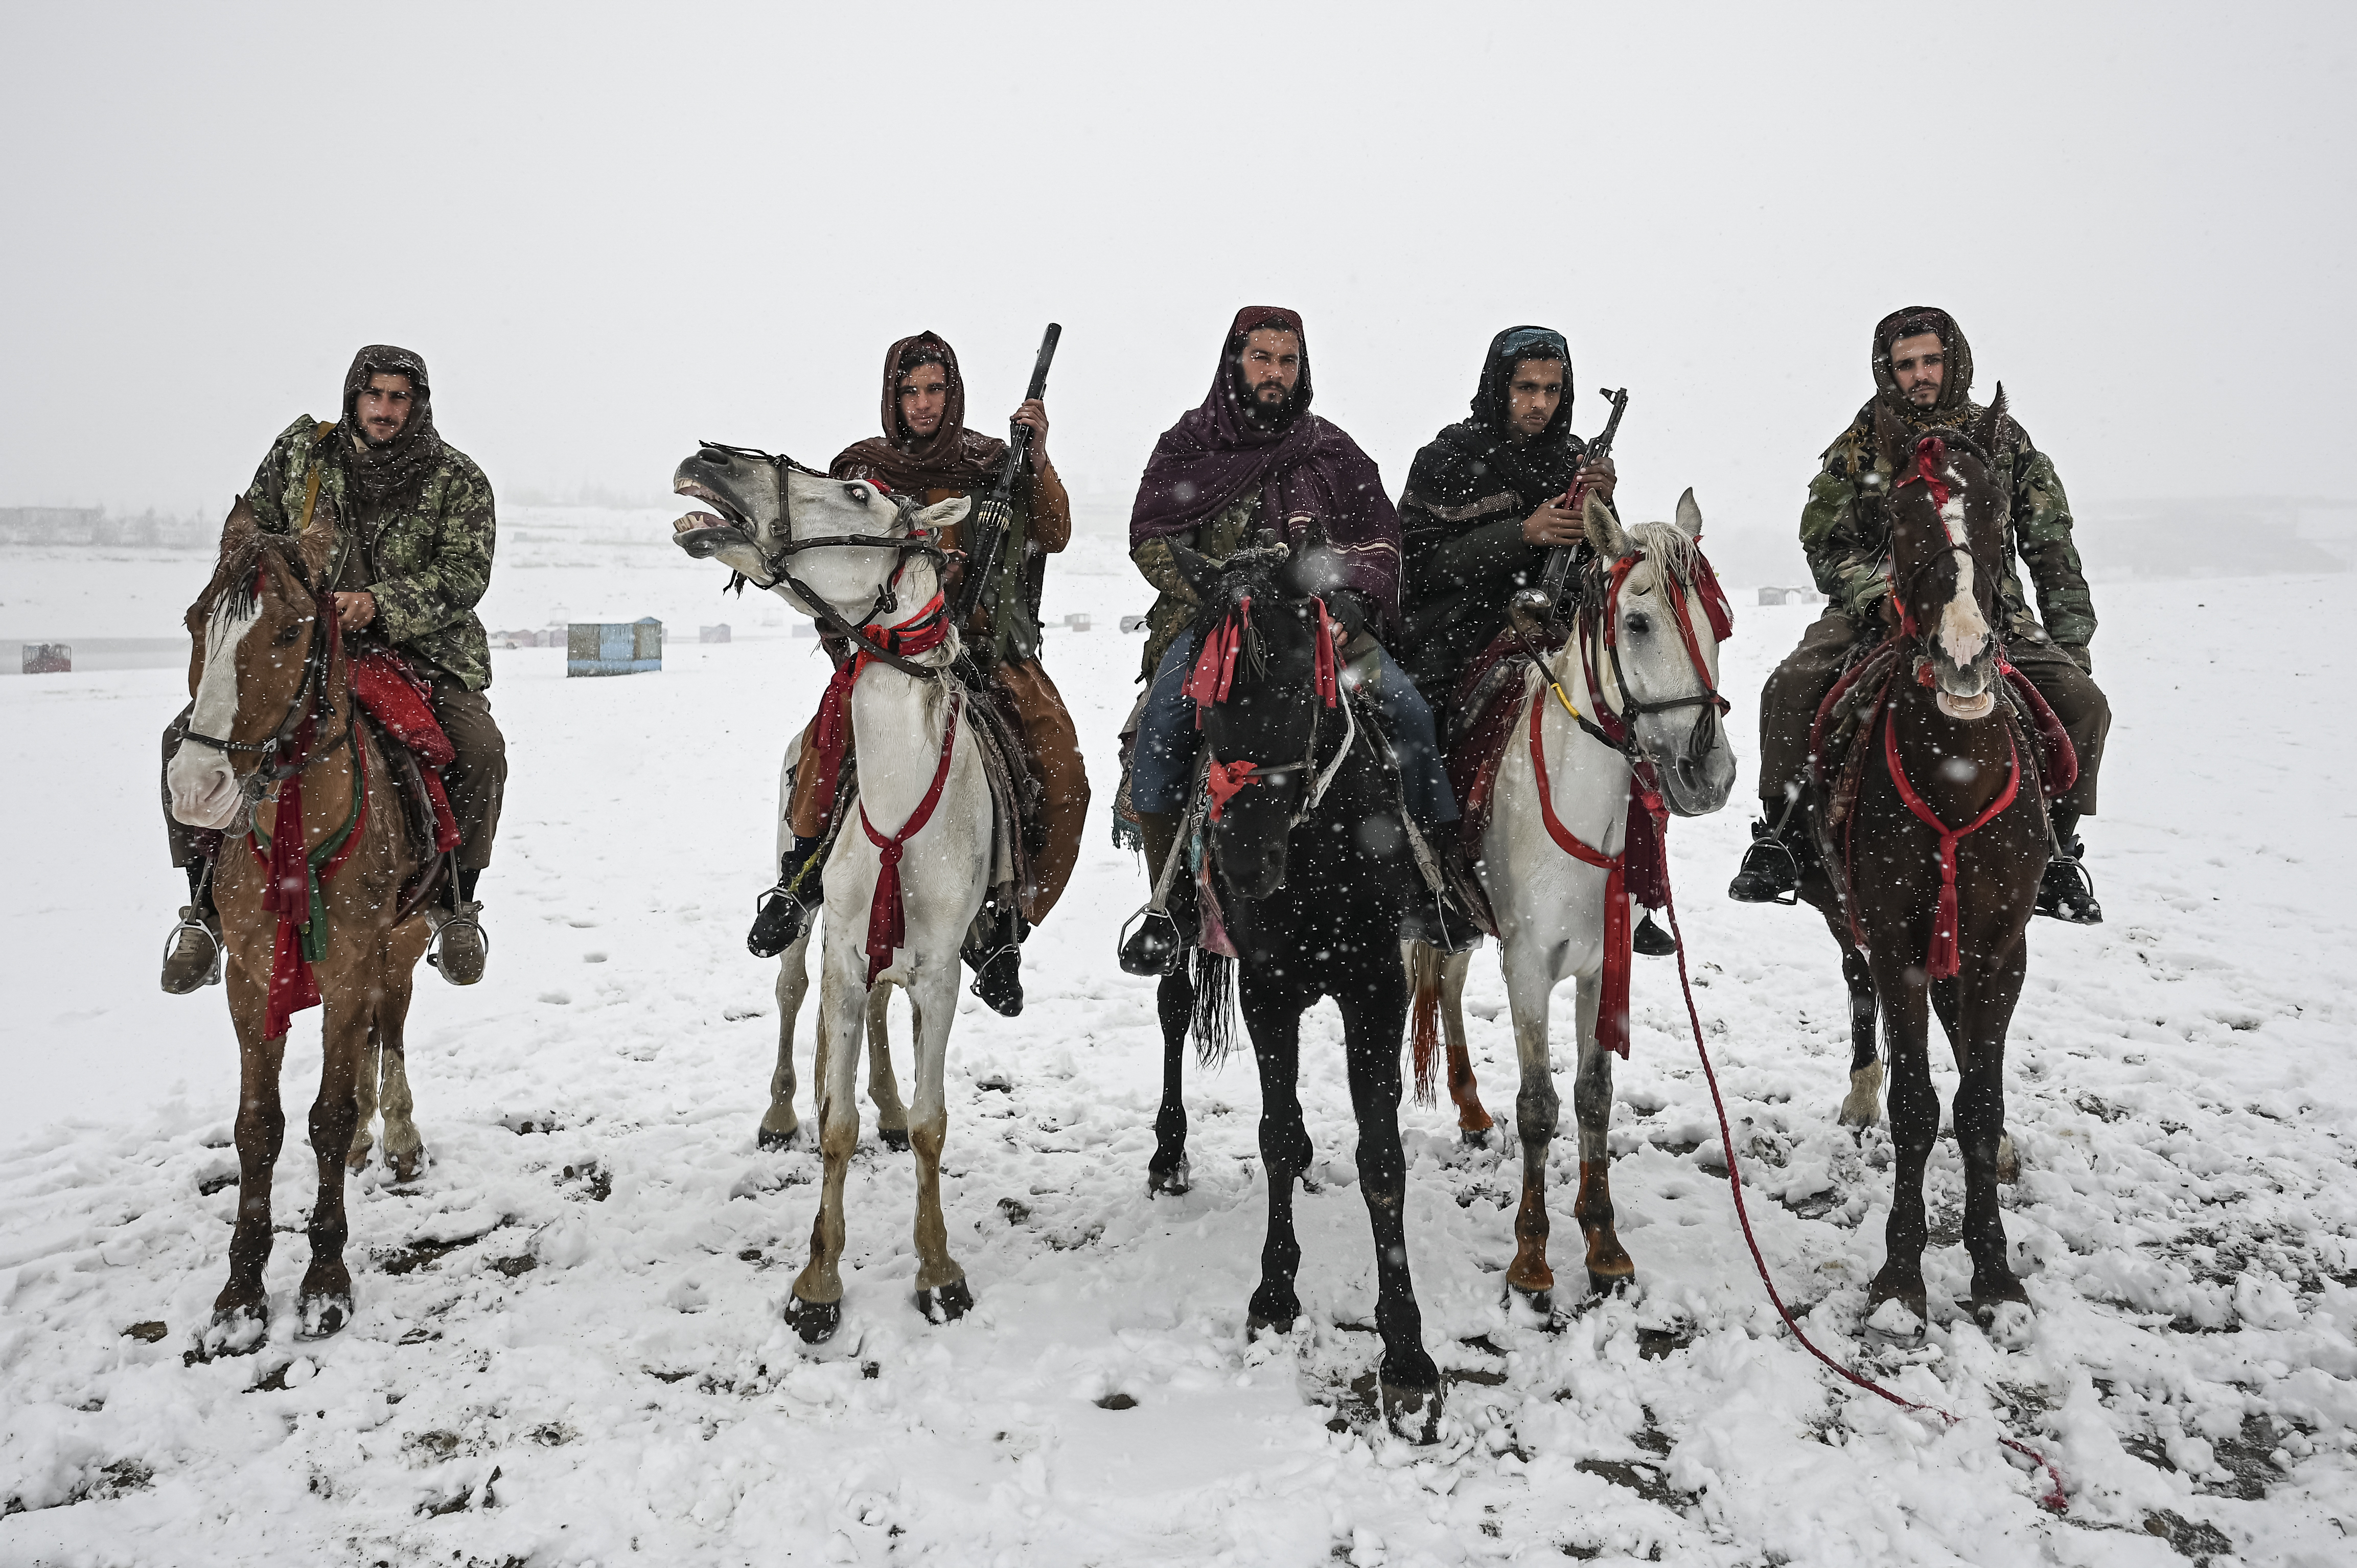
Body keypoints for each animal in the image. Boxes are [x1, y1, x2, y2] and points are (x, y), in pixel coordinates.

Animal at [165, 497, 433, 1348]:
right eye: (195, 622)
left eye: (288, 632)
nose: (197, 787)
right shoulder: (251, 980)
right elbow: (260, 1126)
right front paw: (241, 1293)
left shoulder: (349, 969)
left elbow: (329, 1113)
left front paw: (325, 1282)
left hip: (405, 942)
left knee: (393, 1024)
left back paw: (400, 1139)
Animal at [669, 445, 990, 1339]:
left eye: (856, 492)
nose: (710, 459)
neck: (900, 801)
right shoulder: (845, 951)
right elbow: (838, 1126)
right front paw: (818, 1285)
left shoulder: (940, 972)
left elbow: (932, 1125)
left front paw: (939, 1272)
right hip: (803, 914)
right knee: (790, 992)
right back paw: (784, 1116)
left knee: (878, 1018)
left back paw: (882, 1101)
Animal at [1136, 544, 1442, 1424]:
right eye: (1206, 711)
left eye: (1304, 691)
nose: (1241, 863)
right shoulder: (1268, 988)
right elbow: (1272, 1135)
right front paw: (1274, 1294)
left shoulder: (1376, 990)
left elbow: (1382, 1159)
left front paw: (1406, 1350)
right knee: (1173, 1005)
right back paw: (1168, 1154)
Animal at [1404, 490, 1744, 1311]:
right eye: (1639, 621)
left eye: (1718, 622)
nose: (1709, 773)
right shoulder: (1528, 968)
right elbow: (1539, 1107)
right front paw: (1531, 1260)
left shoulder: (1599, 965)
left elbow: (1593, 1096)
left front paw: (1604, 1242)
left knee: (1449, 984)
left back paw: (1468, 1106)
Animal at [1791, 391, 2055, 1330]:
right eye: (1898, 517)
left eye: (1998, 508)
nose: (1964, 656)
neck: (1956, 769)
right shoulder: (1897, 936)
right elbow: (1916, 1103)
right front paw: (1902, 1274)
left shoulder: (2001, 945)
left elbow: (1978, 1100)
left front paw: (1996, 1270)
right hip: (1843, 910)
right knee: (1856, 982)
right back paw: (1859, 1089)